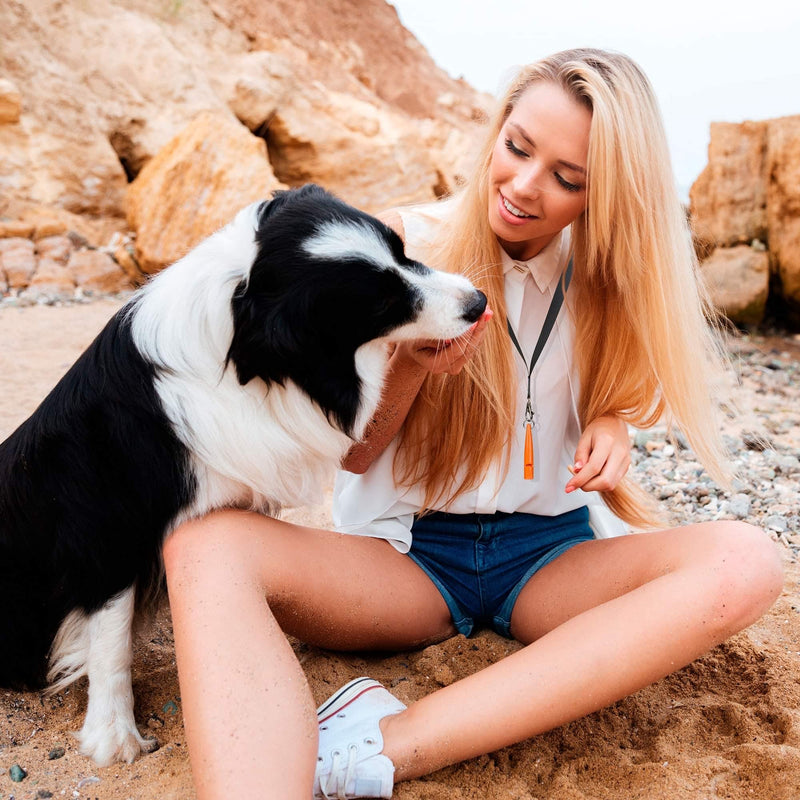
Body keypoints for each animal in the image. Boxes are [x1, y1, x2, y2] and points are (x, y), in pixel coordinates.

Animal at [0, 184, 488, 764]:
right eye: (381, 302)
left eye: (402, 249)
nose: (478, 302)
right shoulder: (109, 533)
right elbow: (110, 642)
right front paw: (114, 736)